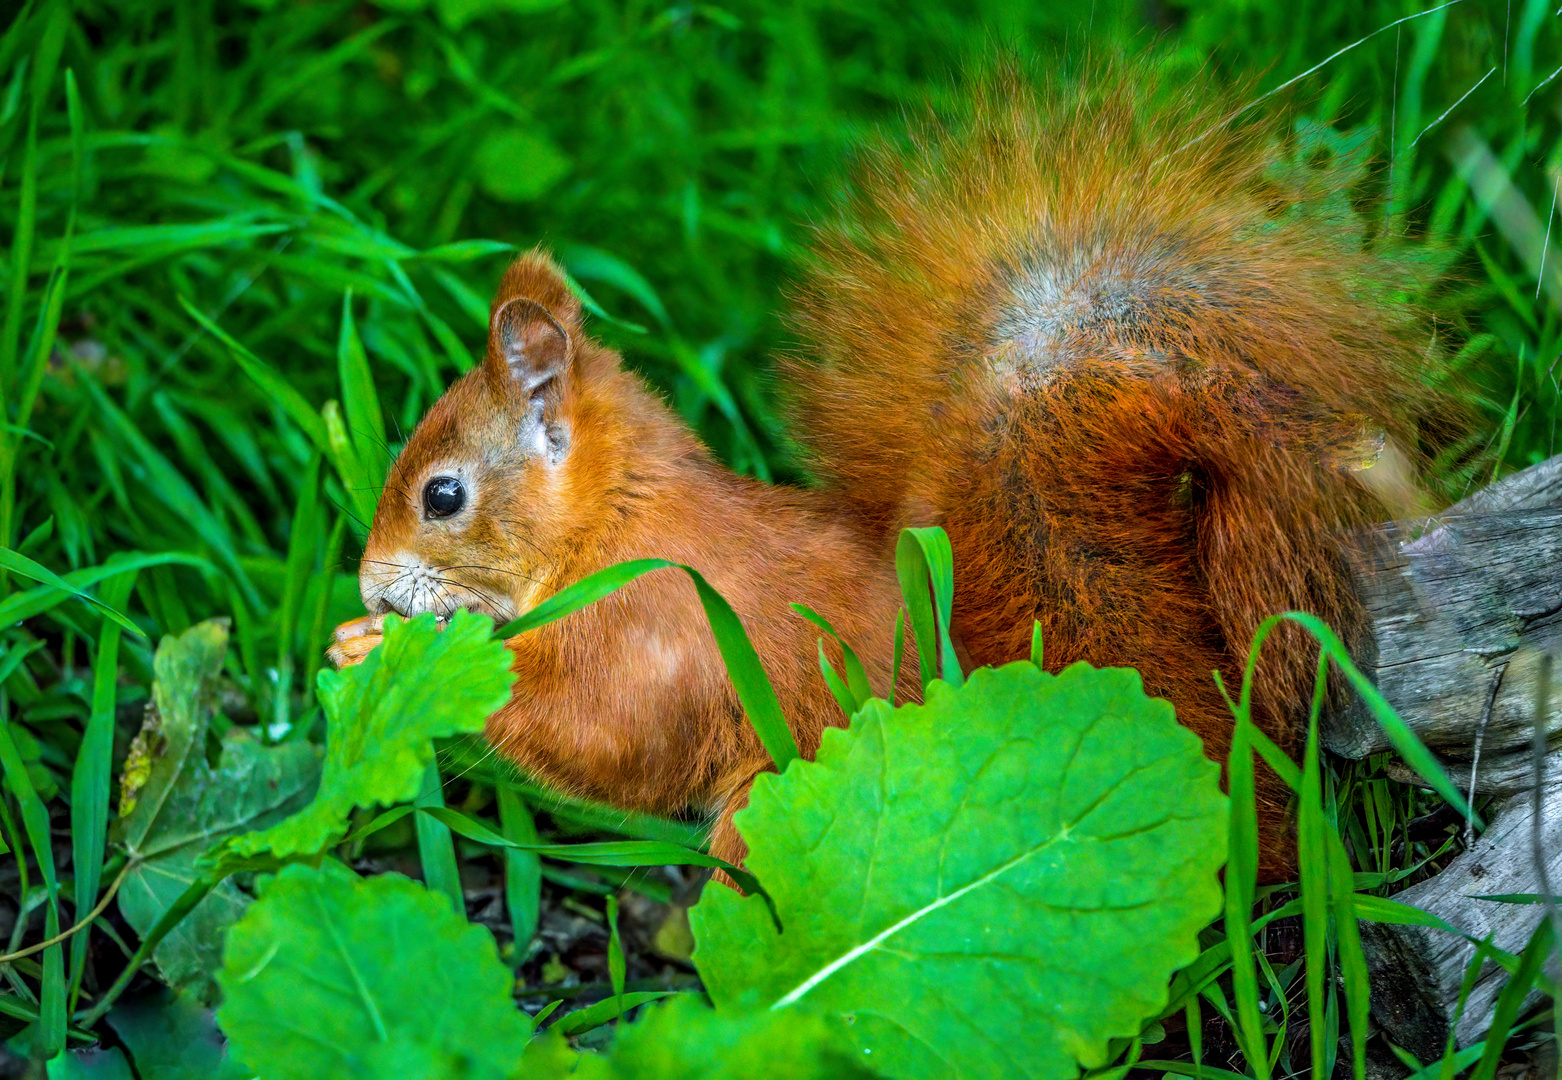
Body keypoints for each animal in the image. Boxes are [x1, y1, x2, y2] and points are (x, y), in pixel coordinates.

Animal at [326, 67, 1449, 881]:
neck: (618, 523)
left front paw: (379, 648)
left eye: (441, 496)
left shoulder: (655, 633)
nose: (370, 585)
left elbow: (600, 741)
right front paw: (356, 636)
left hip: (767, 820)